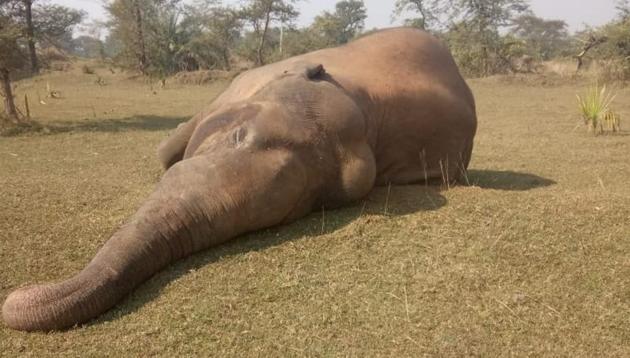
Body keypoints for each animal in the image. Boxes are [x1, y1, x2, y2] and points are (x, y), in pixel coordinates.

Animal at [1, 26, 478, 332]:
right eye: (237, 136)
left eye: (309, 204)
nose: (15, 296)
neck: (364, 100)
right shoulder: (239, 87)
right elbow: (166, 151)